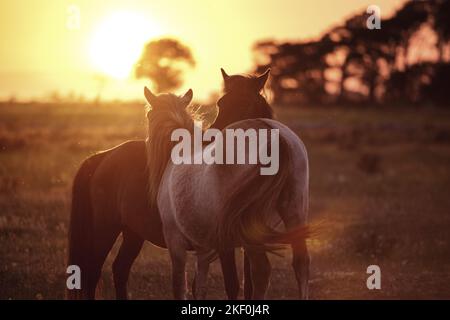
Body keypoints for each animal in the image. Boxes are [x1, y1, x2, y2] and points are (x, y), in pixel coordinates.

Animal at [66, 68, 270, 300]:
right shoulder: (222, 245)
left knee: (120, 269)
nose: (215, 136)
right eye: (221, 103)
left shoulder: (249, 244)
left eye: (247, 103)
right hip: (105, 229)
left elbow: (249, 284)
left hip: (133, 232)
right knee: (93, 273)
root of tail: (103, 156)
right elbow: (232, 285)